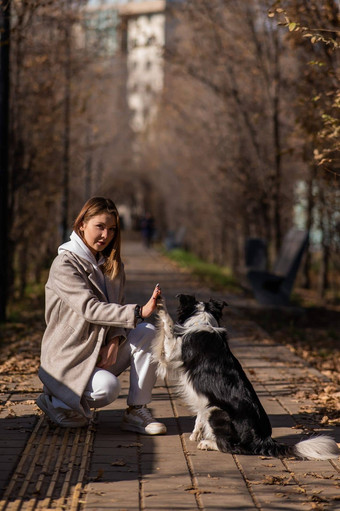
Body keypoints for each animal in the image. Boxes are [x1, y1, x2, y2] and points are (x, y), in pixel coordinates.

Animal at [155, 294, 340, 462]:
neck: (203, 322)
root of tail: (262, 439)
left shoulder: (172, 353)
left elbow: (169, 326)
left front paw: (160, 305)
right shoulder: (205, 398)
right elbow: (199, 417)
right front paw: (195, 434)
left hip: (216, 410)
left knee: (231, 446)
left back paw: (208, 443)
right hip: (212, 406)